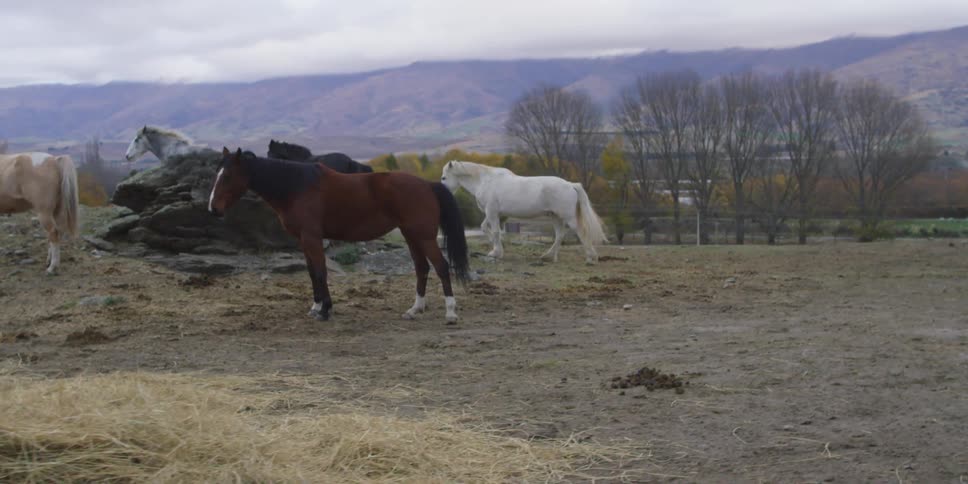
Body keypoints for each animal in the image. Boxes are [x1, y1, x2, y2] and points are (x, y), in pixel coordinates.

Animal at [209, 148, 470, 322]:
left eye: (228, 176)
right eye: (217, 173)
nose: (213, 209)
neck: (297, 187)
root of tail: (428, 185)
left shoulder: (312, 237)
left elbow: (321, 272)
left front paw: (325, 310)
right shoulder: (303, 240)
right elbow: (312, 273)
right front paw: (316, 307)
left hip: (423, 236)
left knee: (441, 266)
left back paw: (451, 312)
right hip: (411, 235)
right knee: (421, 268)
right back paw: (415, 309)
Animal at [440, 161, 608, 263]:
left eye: (444, 177)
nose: (443, 194)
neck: (485, 181)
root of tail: (571, 185)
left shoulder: (492, 212)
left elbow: (495, 232)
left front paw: (496, 252)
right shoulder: (493, 213)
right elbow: (485, 228)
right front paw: (496, 248)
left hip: (568, 217)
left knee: (580, 232)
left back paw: (590, 258)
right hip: (555, 217)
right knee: (560, 235)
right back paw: (549, 256)